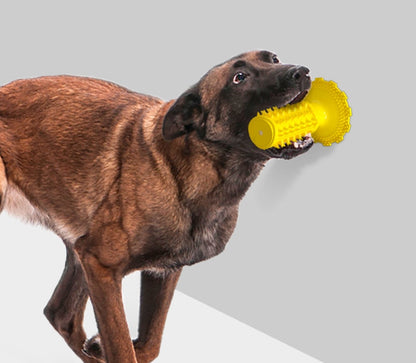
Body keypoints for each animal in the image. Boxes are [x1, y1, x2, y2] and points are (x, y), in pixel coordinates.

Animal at [0, 49, 312, 362]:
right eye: (240, 77)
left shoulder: (160, 271)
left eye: (273, 59)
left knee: (60, 314)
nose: (302, 72)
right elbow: (122, 347)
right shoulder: (101, 266)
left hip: (78, 249)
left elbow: (150, 342)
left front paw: (104, 346)